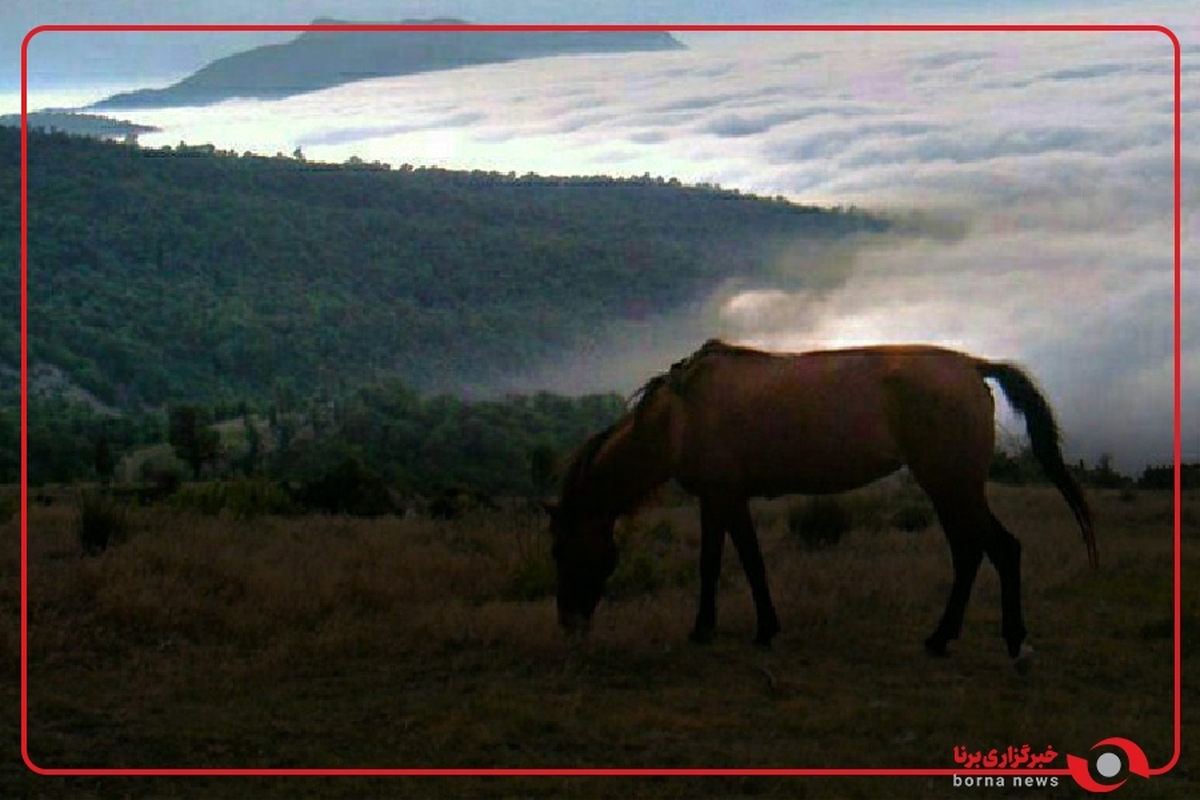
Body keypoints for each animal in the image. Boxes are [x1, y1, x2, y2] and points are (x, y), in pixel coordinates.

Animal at [544, 338, 1099, 671]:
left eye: (563, 551)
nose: (569, 623)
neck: (678, 417)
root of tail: (973, 368)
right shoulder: (720, 499)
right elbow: (725, 563)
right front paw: (729, 627)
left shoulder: (723, 497)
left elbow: (734, 563)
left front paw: (734, 630)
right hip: (949, 489)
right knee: (969, 555)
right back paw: (940, 638)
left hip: (952, 486)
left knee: (1002, 550)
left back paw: (1016, 644)